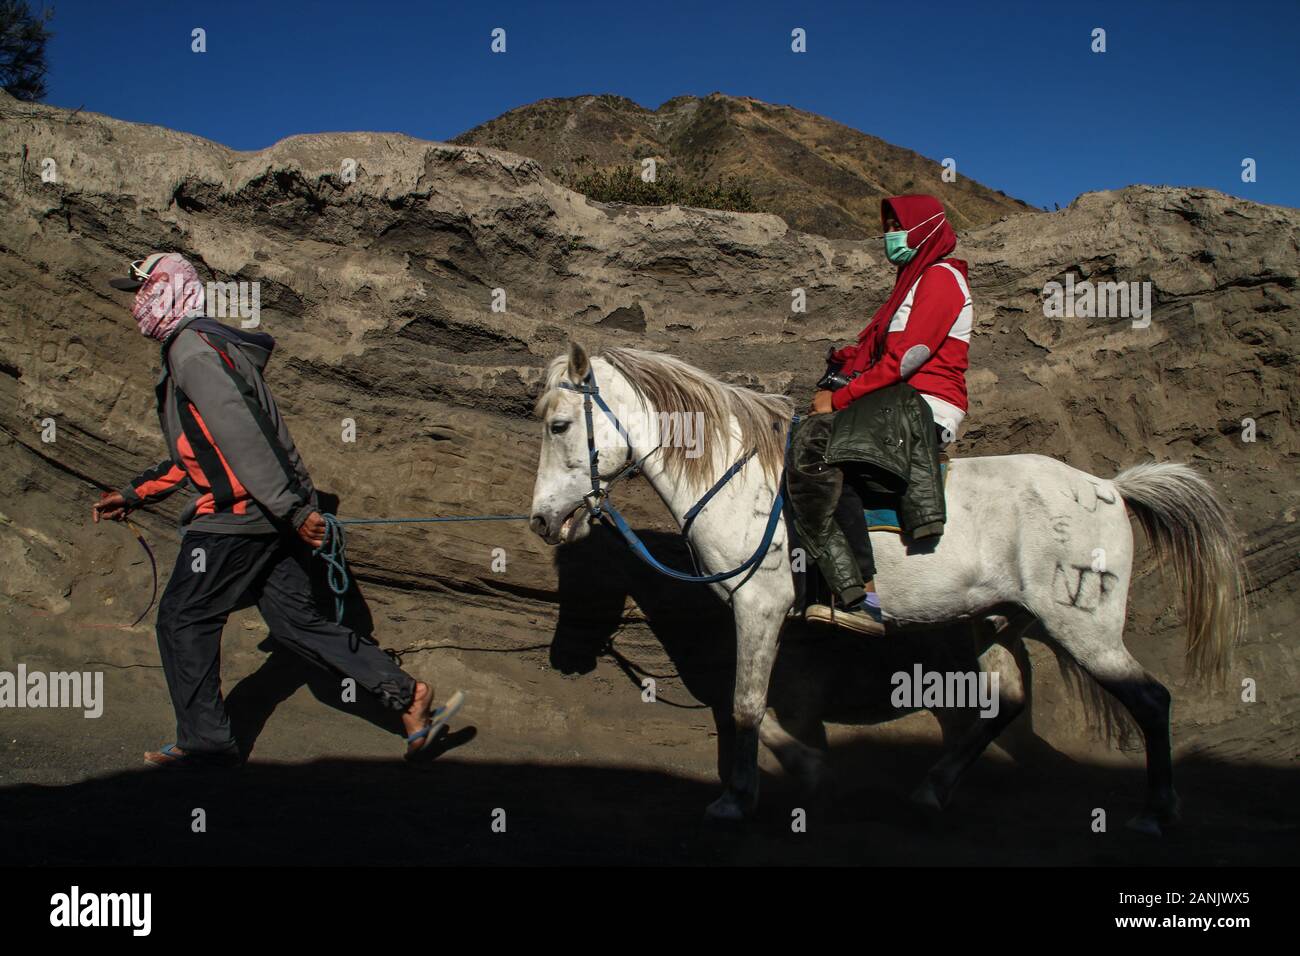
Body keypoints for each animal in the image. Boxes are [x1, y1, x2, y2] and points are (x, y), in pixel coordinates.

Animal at [527, 343, 1248, 832]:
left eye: (560, 426)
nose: (542, 521)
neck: (742, 478)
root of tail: (1111, 487)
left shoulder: (759, 607)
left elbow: (745, 705)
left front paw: (737, 798)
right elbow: (764, 708)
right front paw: (808, 769)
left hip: (1083, 628)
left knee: (1151, 700)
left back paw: (1156, 811)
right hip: (1001, 621)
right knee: (1007, 702)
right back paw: (934, 788)